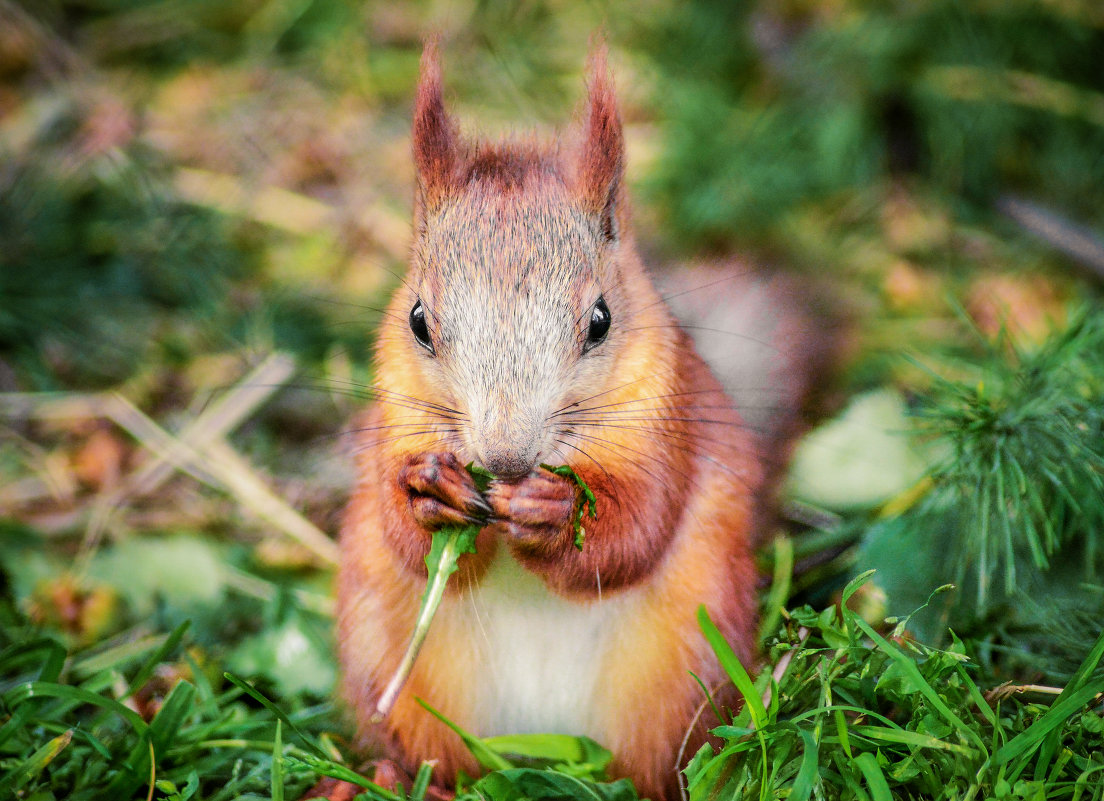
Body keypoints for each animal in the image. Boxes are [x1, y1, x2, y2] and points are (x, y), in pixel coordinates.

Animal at [326, 40, 821, 801]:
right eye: (417, 321)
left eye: (600, 321)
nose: (505, 460)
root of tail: (539, 752)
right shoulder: (396, 417)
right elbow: (399, 532)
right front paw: (427, 491)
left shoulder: (668, 425)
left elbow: (639, 530)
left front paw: (558, 511)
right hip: (395, 672)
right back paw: (385, 779)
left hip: (681, 675)